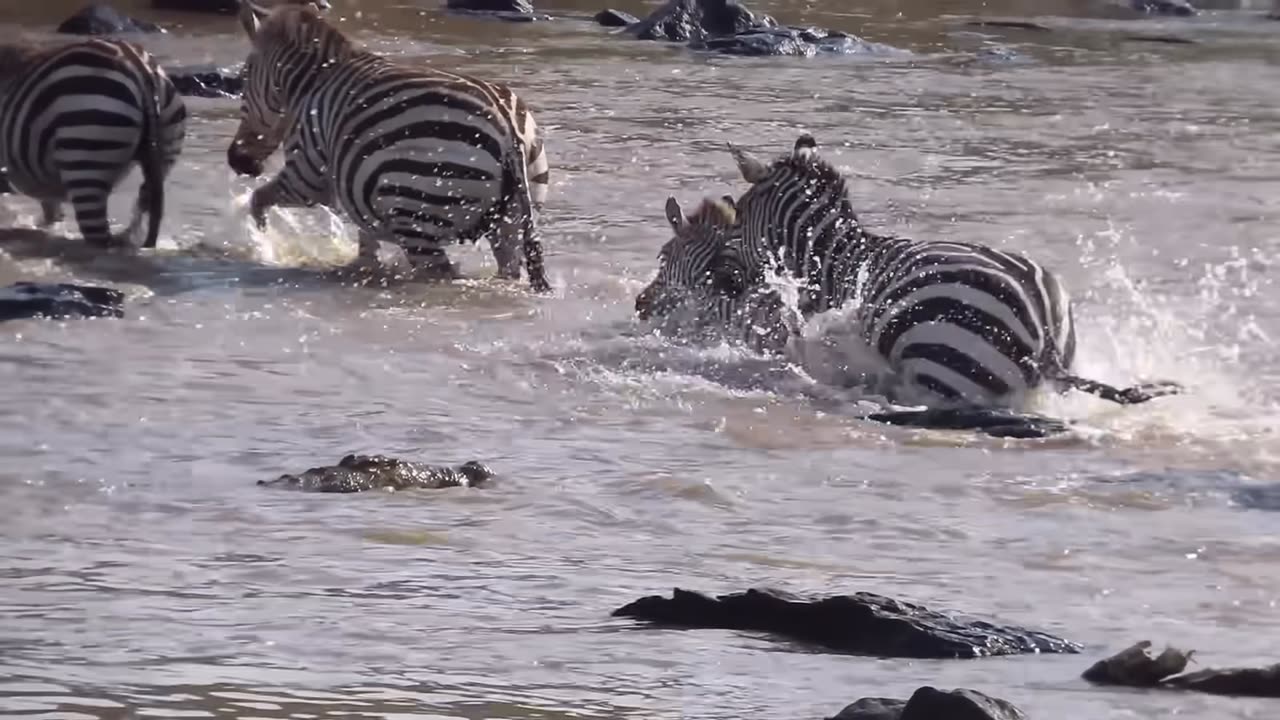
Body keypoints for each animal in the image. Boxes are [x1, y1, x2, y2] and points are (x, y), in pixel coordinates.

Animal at [0, 37, 186, 249]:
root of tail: (136, 63)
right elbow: (51, 211)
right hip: (165, 150)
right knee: (144, 201)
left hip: (85, 158)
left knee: (100, 237)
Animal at [225, 4, 550, 292]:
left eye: (243, 81)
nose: (236, 161)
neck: (310, 86)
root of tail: (507, 125)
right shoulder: (354, 190)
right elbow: (366, 248)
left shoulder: (308, 172)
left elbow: (258, 199)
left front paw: (265, 243)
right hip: (510, 220)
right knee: (508, 268)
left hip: (417, 215)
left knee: (439, 276)